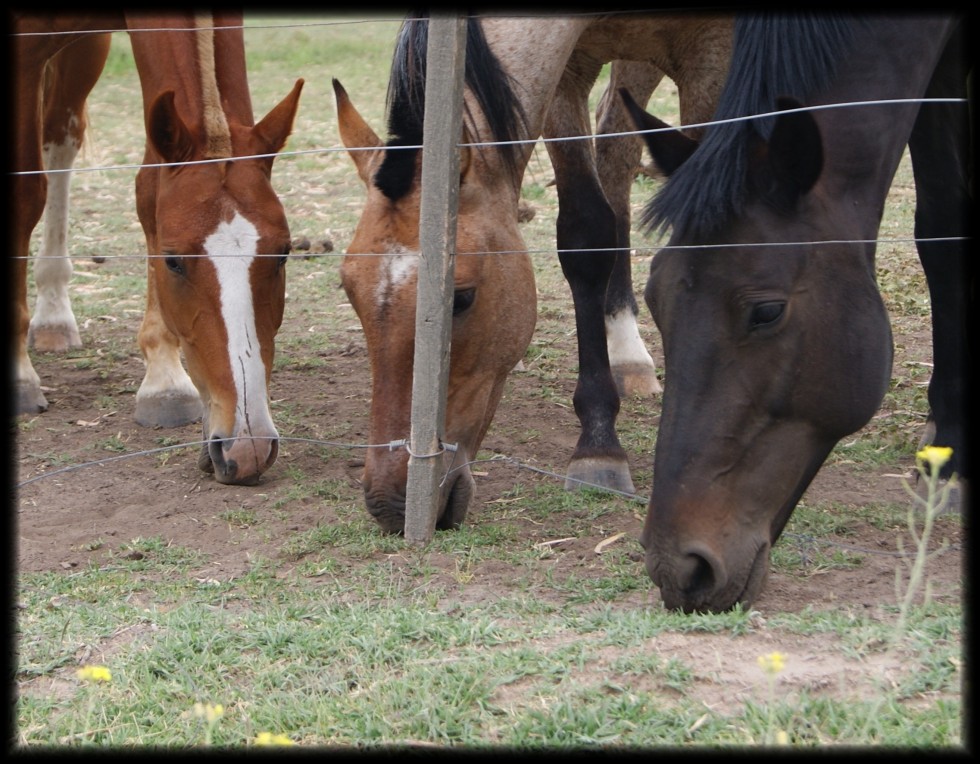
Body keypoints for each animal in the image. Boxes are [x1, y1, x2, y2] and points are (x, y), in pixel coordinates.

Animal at [10, 13, 302, 484]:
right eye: (174, 261)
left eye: (283, 253)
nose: (248, 447)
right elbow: (24, 194)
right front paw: (19, 375)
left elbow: (148, 189)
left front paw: (164, 379)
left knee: (61, 139)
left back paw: (54, 315)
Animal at [334, 13, 732, 536]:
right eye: (349, 288)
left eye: (461, 297)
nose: (389, 505)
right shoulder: (570, 68)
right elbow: (585, 234)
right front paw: (599, 443)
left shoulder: (711, 55)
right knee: (617, 147)